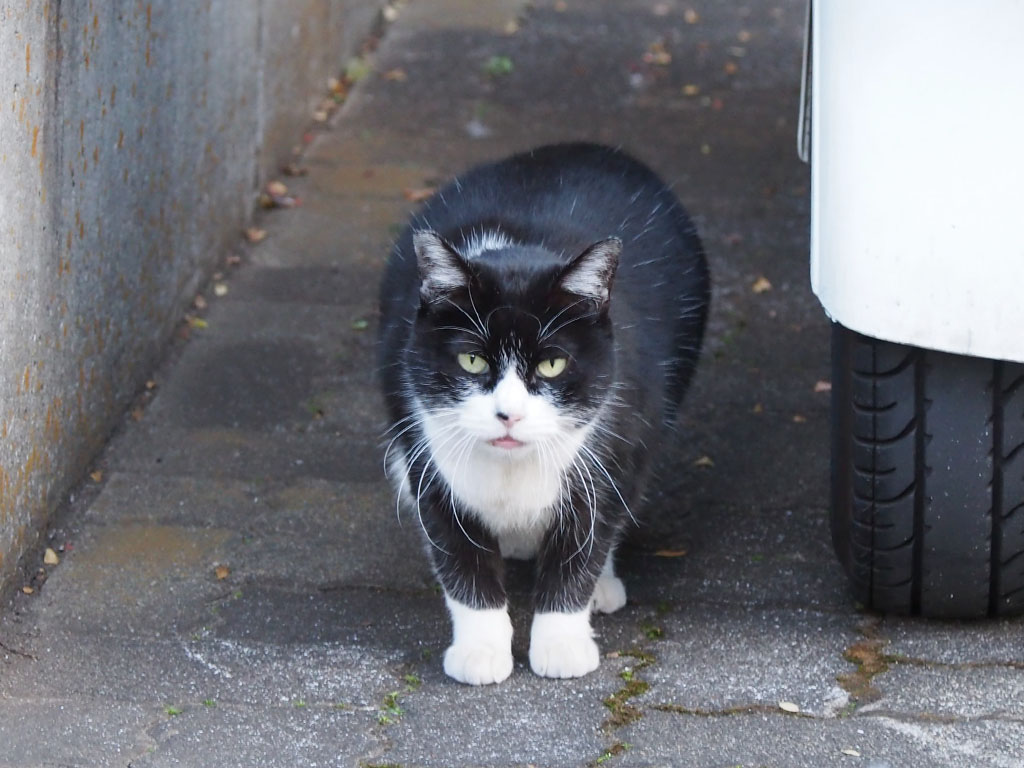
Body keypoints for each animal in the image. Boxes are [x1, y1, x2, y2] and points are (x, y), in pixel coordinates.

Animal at [380, 143, 708, 684]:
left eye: (552, 364)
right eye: (472, 360)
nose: (508, 414)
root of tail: (591, 147)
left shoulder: (618, 447)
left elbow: (581, 548)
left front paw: (561, 644)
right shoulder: (425, 455)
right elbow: (460, 560)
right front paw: (481, 650)